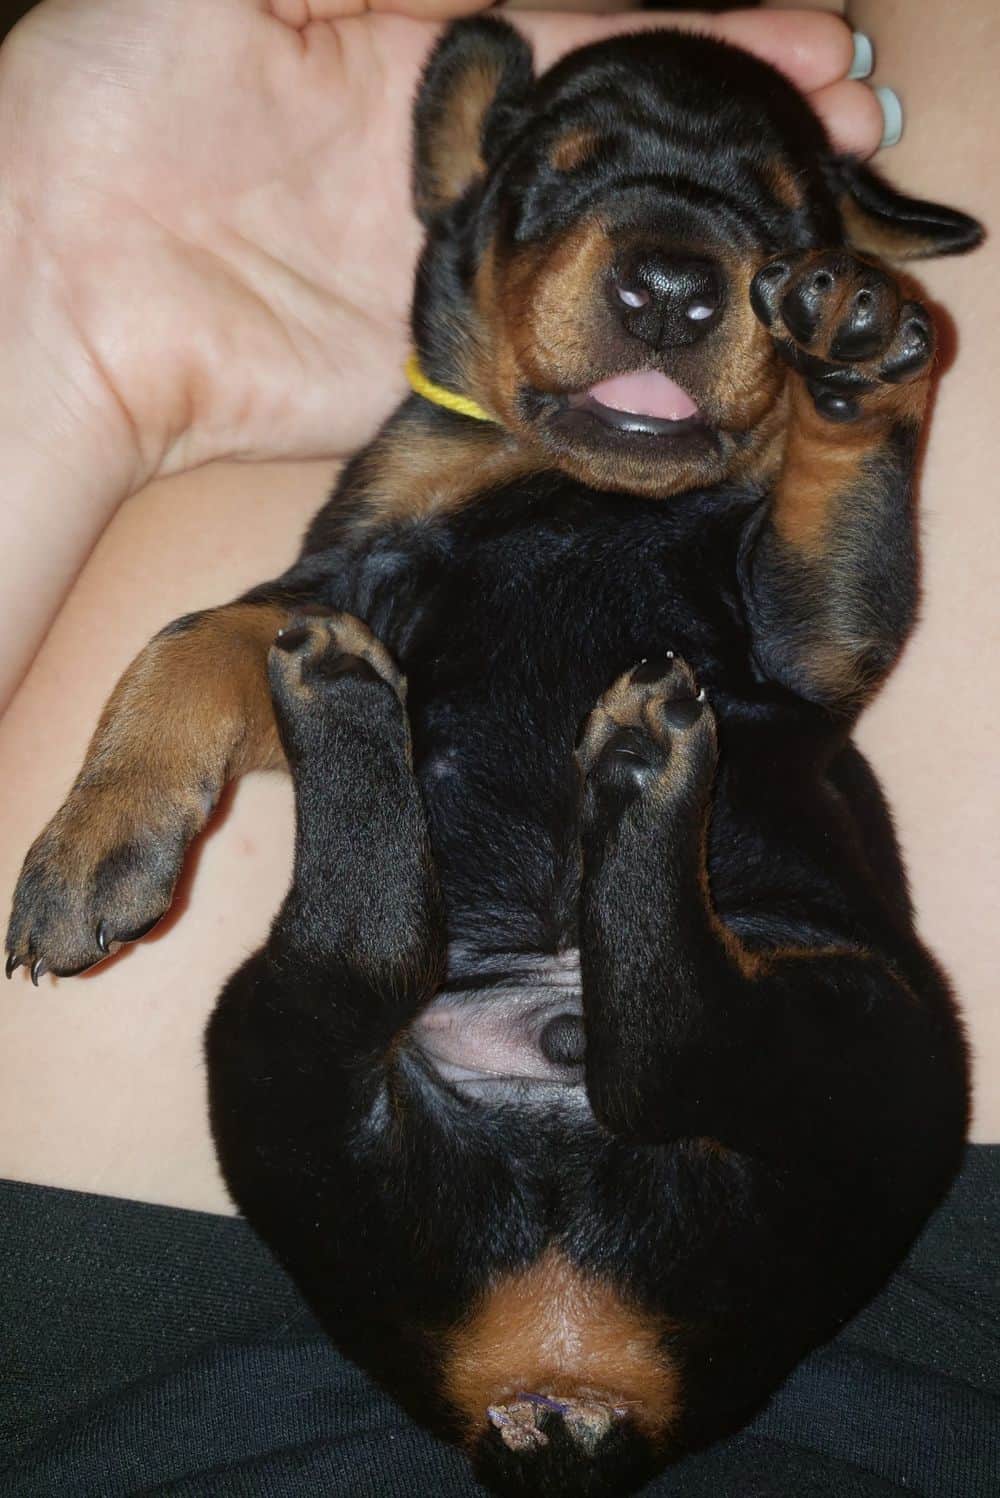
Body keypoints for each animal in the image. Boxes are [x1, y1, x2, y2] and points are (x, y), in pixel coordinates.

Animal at [3, 20, 982, 1498]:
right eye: (560, 174)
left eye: (779, 219)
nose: (674, 283)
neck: (576, 485)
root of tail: (563, 1379)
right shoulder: (345, 567)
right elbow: (187, 638)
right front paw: (92, 842)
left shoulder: (810, 641)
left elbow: (839, 504)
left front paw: (860, 341)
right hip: (270, 1064)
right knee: (376, 971)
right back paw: (360, 710)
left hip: (880, 1045)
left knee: (673, 1039)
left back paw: (625, 771)